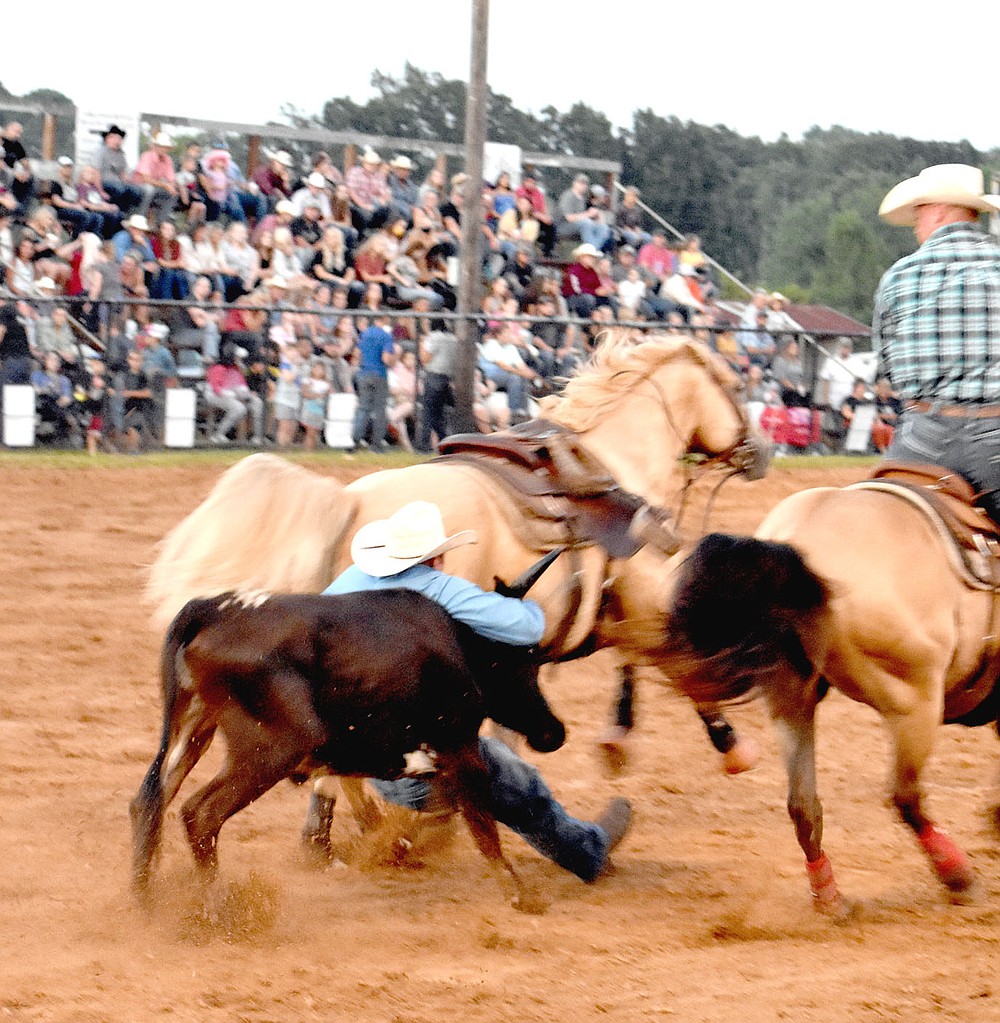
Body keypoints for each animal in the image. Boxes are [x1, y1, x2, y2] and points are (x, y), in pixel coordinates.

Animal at [148, 331, 768, 842]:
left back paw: (337, 828)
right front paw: (722, 746)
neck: (618, 465)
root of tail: (349, 502)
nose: (761, 451)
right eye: (737, 385)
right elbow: (676, 662)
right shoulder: (635, 603)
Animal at [662, 474, 997, 916]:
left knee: (802, 804)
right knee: (905, 796)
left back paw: (829, 896)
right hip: (914, 702)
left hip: (790, 698)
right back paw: (957, 876)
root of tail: (798, 540)